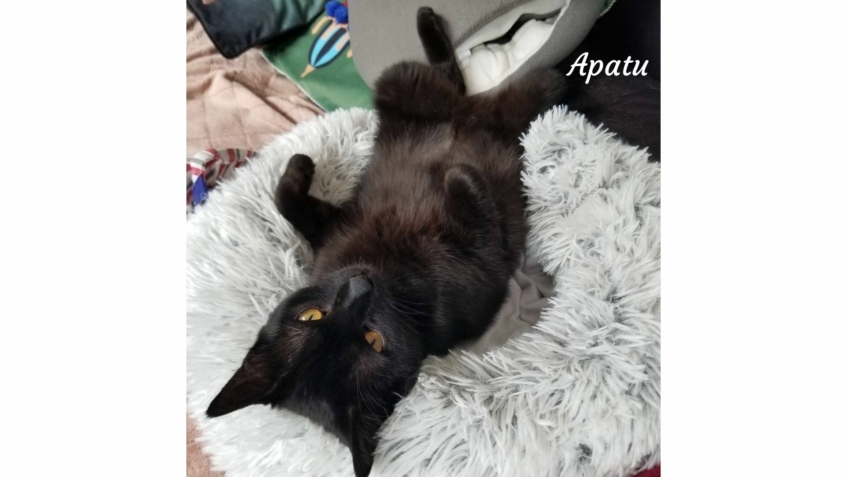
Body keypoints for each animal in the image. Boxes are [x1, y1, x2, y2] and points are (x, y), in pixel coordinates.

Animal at [206, 7, 563, 477]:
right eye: (374, 340)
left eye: (310, 315)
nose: (359, 286)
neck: (389, 269)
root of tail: (471, 114)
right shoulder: (487, 264)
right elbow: (476, 206)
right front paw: (457, 175)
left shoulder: (338, 226)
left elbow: (285, 197)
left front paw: (300, 164)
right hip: (465, 100)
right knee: (491, 90)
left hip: (396, 80)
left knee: (451, 77)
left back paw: (432, 24)